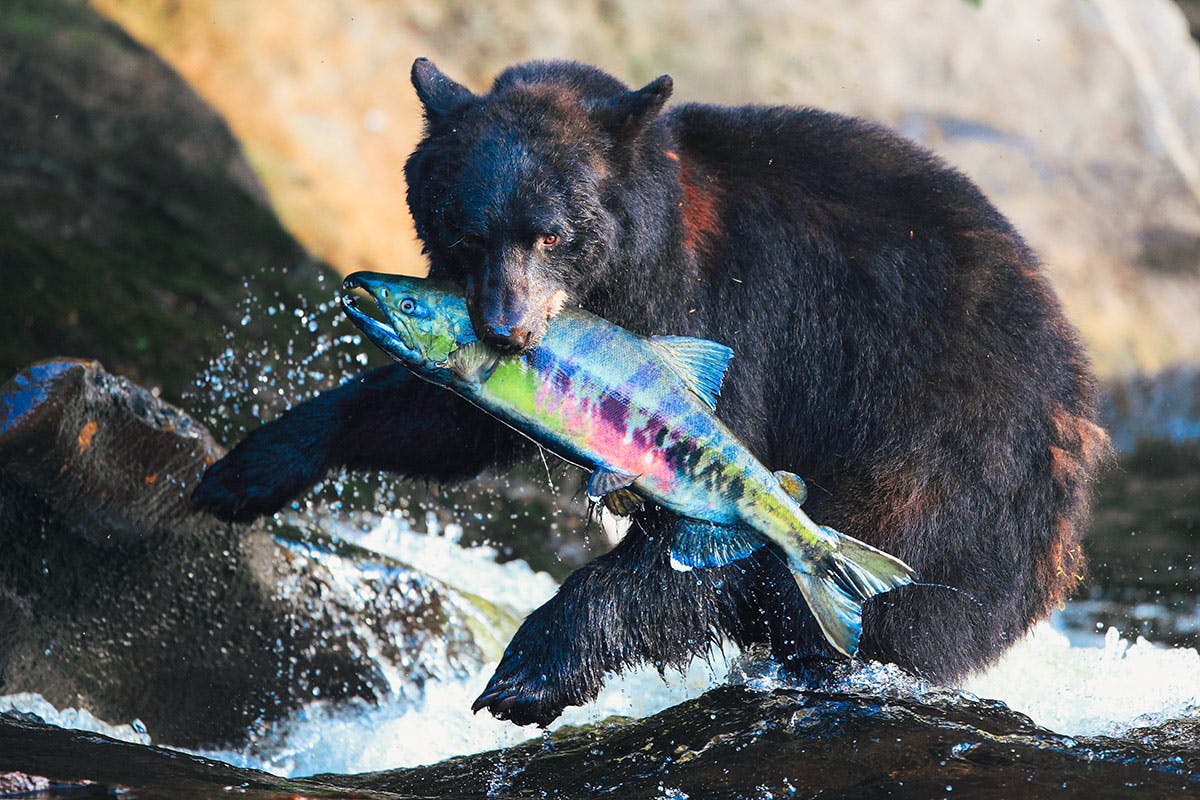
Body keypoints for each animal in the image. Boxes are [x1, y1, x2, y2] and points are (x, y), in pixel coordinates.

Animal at [192, 58, 1111, 726]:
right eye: (465, 228)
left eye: (552, 233)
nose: (506, 329)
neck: (634, 266)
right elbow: (443, 420)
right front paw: (246, 468)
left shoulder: (729, 315)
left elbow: (692, 520)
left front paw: (529, 673)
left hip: (937, 458)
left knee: (846, 580)